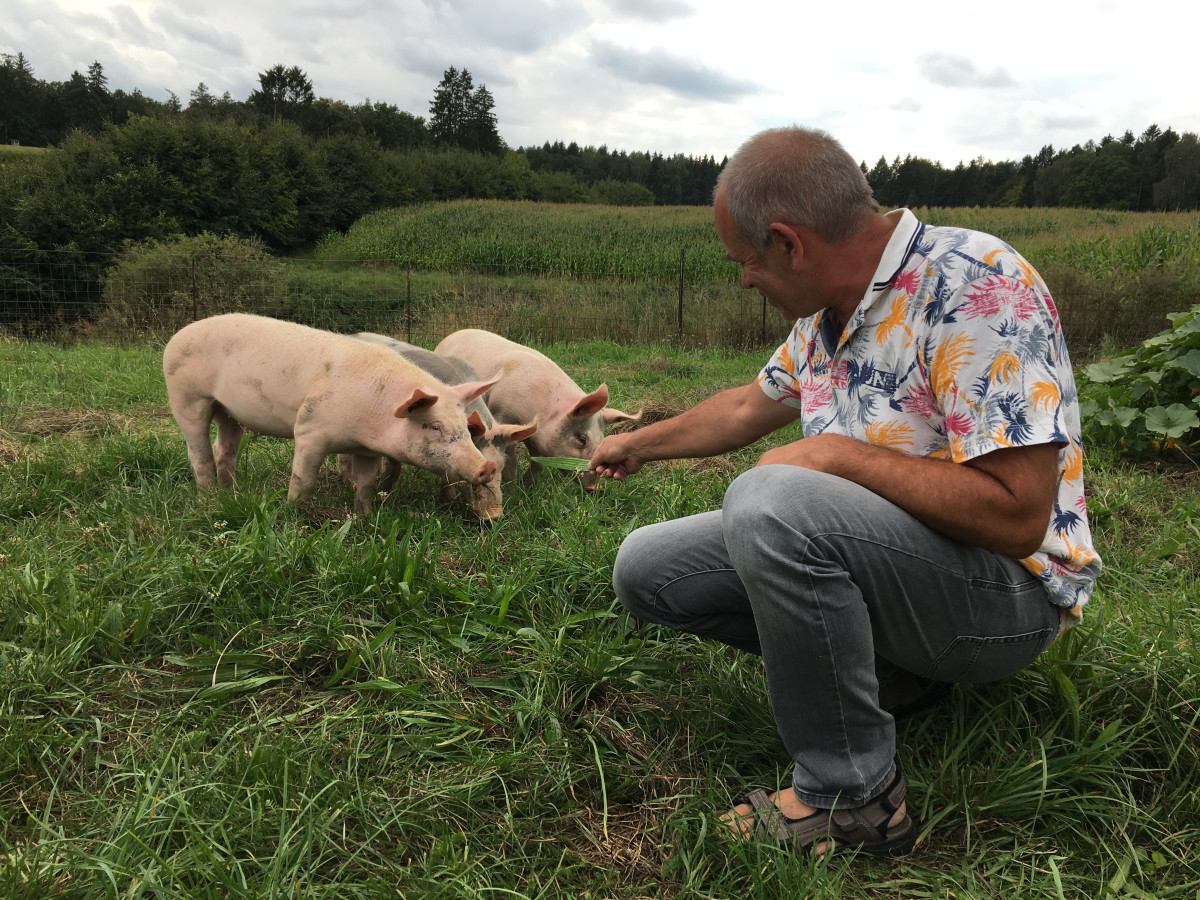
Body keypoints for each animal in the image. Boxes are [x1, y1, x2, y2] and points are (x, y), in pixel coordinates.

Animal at [163, 314, 496, 513]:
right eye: (434, 426)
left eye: (466, 428)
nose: (488, 466)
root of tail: (177, 335)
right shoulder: (309, 429)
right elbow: (304, 478)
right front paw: (293, 513)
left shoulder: (367, 450)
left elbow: (366, 484)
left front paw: (364, 518)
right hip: (187, 397)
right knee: (199, 453)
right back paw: (208, 500)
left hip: (228, 411)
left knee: (224, 450)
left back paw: (230, 494)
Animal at [432, 328, 638, 487]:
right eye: (582, 439)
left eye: (602, 439)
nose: (594, 489)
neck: (542, 414)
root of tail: (450, 335)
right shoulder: (502, 414)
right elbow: (511, 457)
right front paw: (511, 486)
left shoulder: (537, 438)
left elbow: (539, 462)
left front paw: (528, 485)